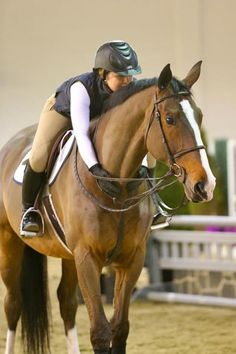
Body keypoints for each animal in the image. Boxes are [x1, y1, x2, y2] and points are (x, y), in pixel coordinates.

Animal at [0, 61, 216, 354]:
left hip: (68, 256)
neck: (117, 185)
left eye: (200, 117)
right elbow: (100, 332)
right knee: (13, 304)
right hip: (9, 242)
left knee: (66, 303)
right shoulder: (88, 258)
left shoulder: (131, 260)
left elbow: (119, 327)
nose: (205, 185)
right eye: (170, 119)